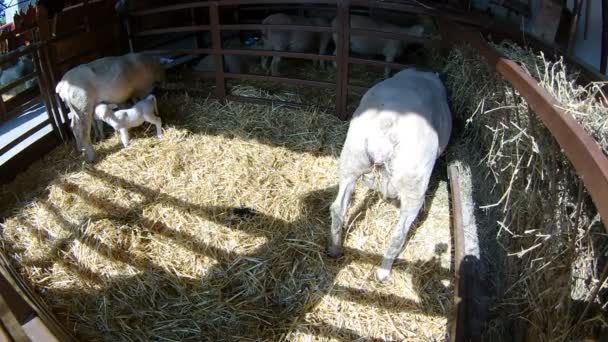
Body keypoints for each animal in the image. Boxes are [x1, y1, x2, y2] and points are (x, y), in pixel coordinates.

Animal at [328, 68, 452, 282]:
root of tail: (387, 130)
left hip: (351, 161)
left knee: (337, 208)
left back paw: (335, 248)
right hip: (414, 187)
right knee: (398, 234)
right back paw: (384, 272)